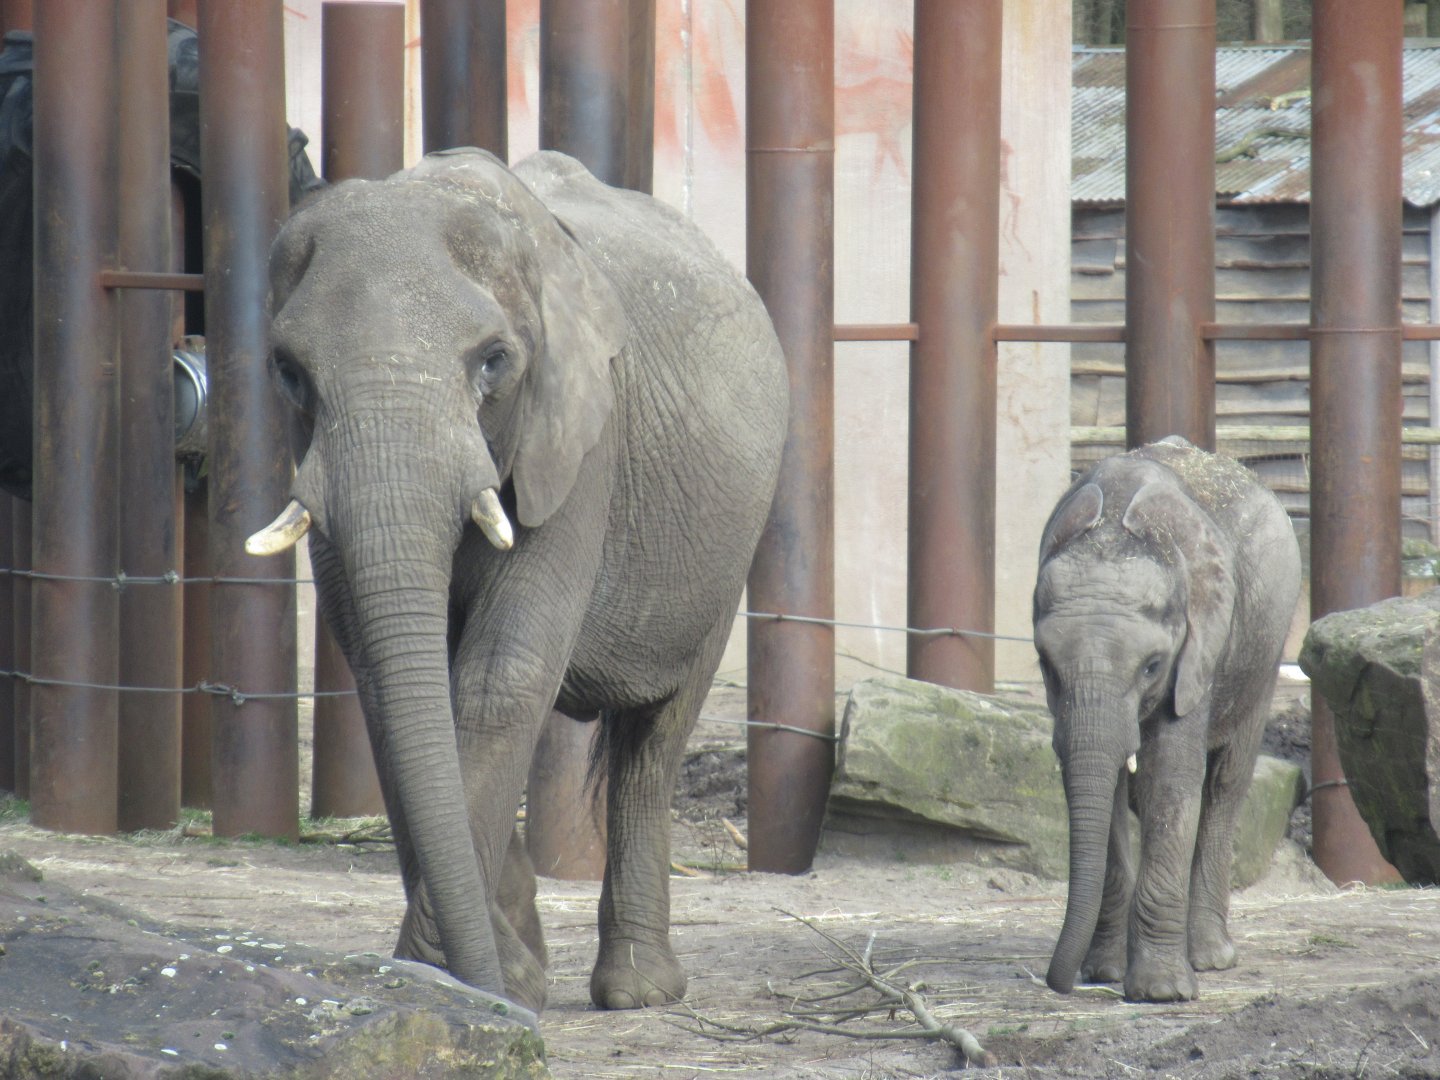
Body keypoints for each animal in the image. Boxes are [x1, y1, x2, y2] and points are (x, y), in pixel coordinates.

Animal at [246, 148, 788, 1012]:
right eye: (289, 373)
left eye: (493, 361)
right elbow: (392, 690)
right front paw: (501, 984)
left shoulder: (580, 444)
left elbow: (500, 680)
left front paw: (462, 983)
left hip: (732, 541)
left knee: (655, 738)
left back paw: (639, 991)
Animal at [1031, 436, 1300, 1002]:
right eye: (1046, 664)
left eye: (1153, 666)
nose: (1060, 983)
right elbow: (1109, 787)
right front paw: (1105, 973)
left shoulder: (1198, 648)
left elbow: (1171, 781)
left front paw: (1161, 992)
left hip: (1264, 653)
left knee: (1225, 785)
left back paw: (1210, 958)